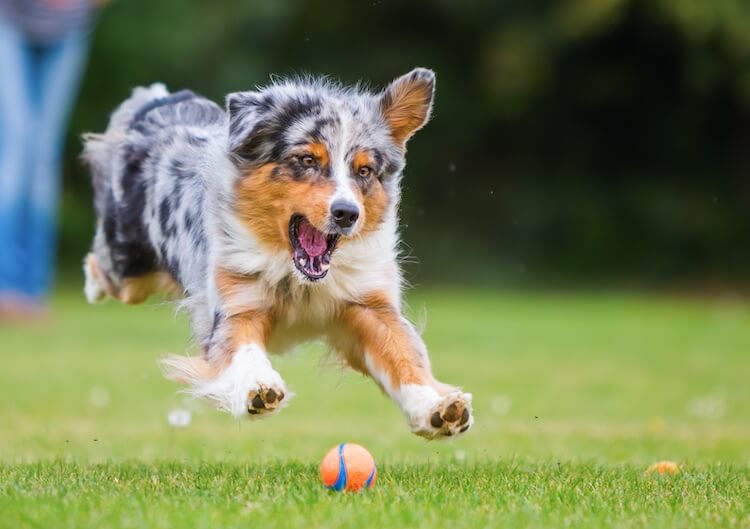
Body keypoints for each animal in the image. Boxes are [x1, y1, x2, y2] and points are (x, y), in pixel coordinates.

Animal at [82, 69, 476, 438]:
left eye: (364, 170)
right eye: (307, 160)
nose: (348, 213)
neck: (298, 277)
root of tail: (158, 102)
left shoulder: (369, 305)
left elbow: (404, 354)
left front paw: (436, 406)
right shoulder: (237, 302)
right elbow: (243, 348)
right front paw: (258, 387)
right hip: (128, 265)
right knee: (101, 265)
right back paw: (92, 286)